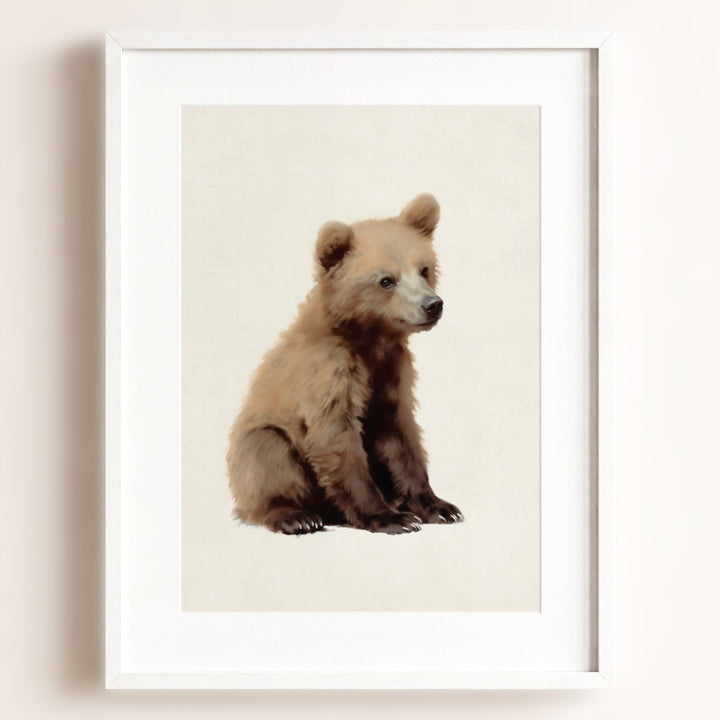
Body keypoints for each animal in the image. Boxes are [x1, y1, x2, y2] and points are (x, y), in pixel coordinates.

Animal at [226, 194, 463, 535]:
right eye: (386, 280)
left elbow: (401, 436)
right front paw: (390, 517)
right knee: (266, 452)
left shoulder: (390, 372)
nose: (432, 305)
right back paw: (296, 515)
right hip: (260, 441)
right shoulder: (327, 371)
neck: (370, 338)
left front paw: (438, 507)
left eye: (424, 269)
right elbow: (337, 437)